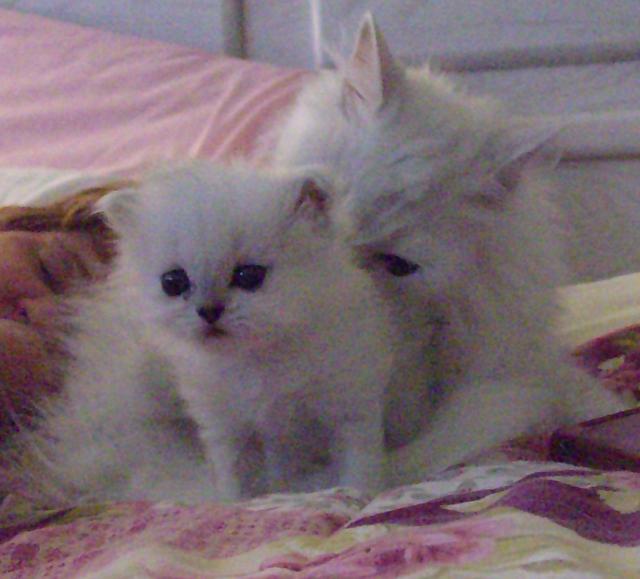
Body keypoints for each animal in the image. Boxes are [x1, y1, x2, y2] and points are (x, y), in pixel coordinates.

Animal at [14, 160, 394, 504]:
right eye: (173, 282)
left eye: (249, 276)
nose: (209, 311)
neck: (257, 359)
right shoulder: (225, 428)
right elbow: (234, 480)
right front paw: (239, 505)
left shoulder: (349, 406)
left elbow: (357, 468)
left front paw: (356, 497)